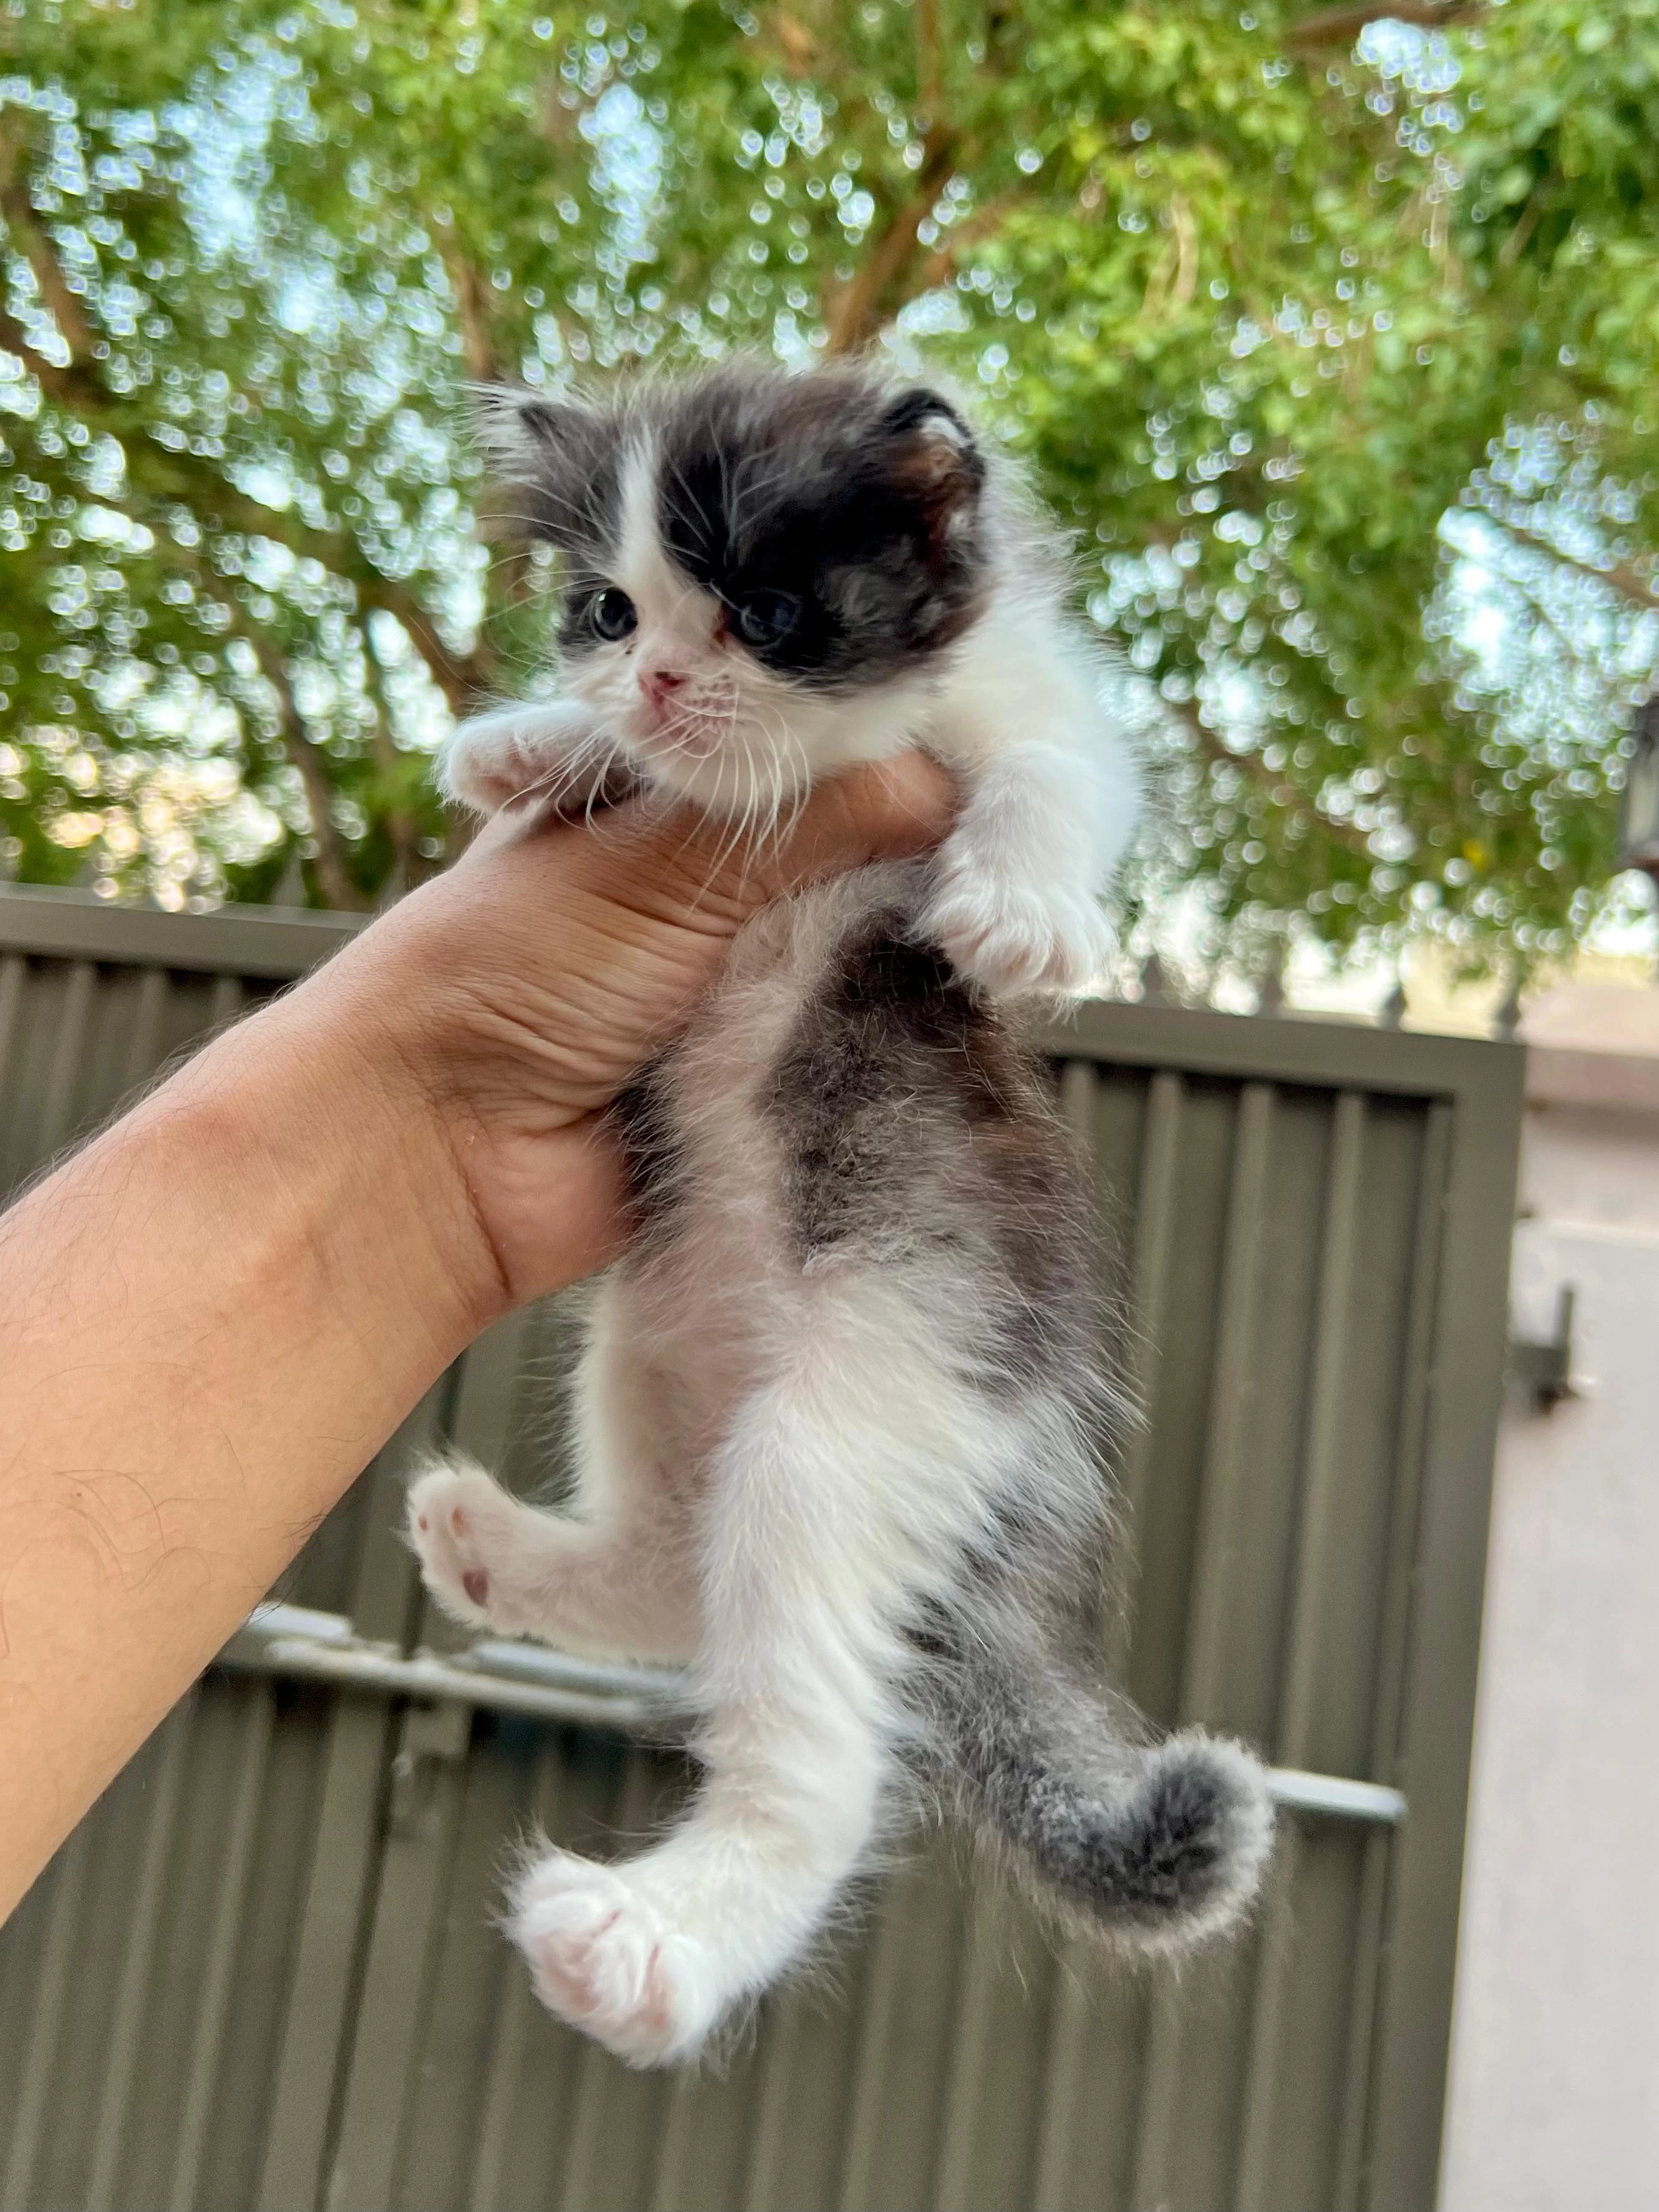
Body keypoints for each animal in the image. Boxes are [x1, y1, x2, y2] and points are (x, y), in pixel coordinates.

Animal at [409, 354, 1283, 2061]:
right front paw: (531, 744)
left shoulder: (1029, 706)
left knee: (820, 1752)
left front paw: (1021, 909)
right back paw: (499, 1554)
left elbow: (1056, 774)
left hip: (874, 1388)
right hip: (649, 1336)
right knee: (677, 1576)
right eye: (607, 610)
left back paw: (651, 1939)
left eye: (765, 610)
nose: (657, 682)